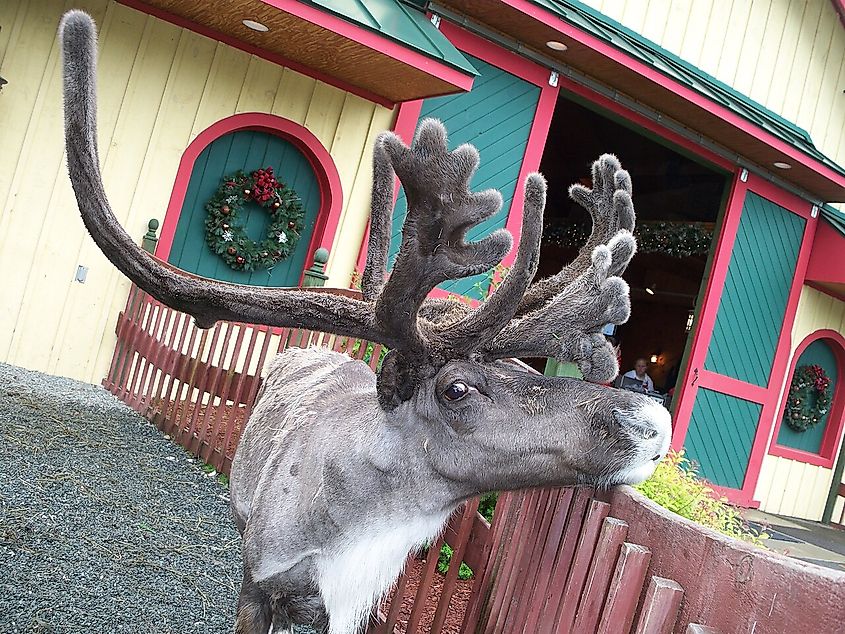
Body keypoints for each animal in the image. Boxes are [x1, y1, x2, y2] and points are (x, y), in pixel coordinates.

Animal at [60, 10, 671, 634]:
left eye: (524, 367)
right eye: (456, 388)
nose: (652, 420)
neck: (354, 530)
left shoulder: (349, 610)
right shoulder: (257, 585)